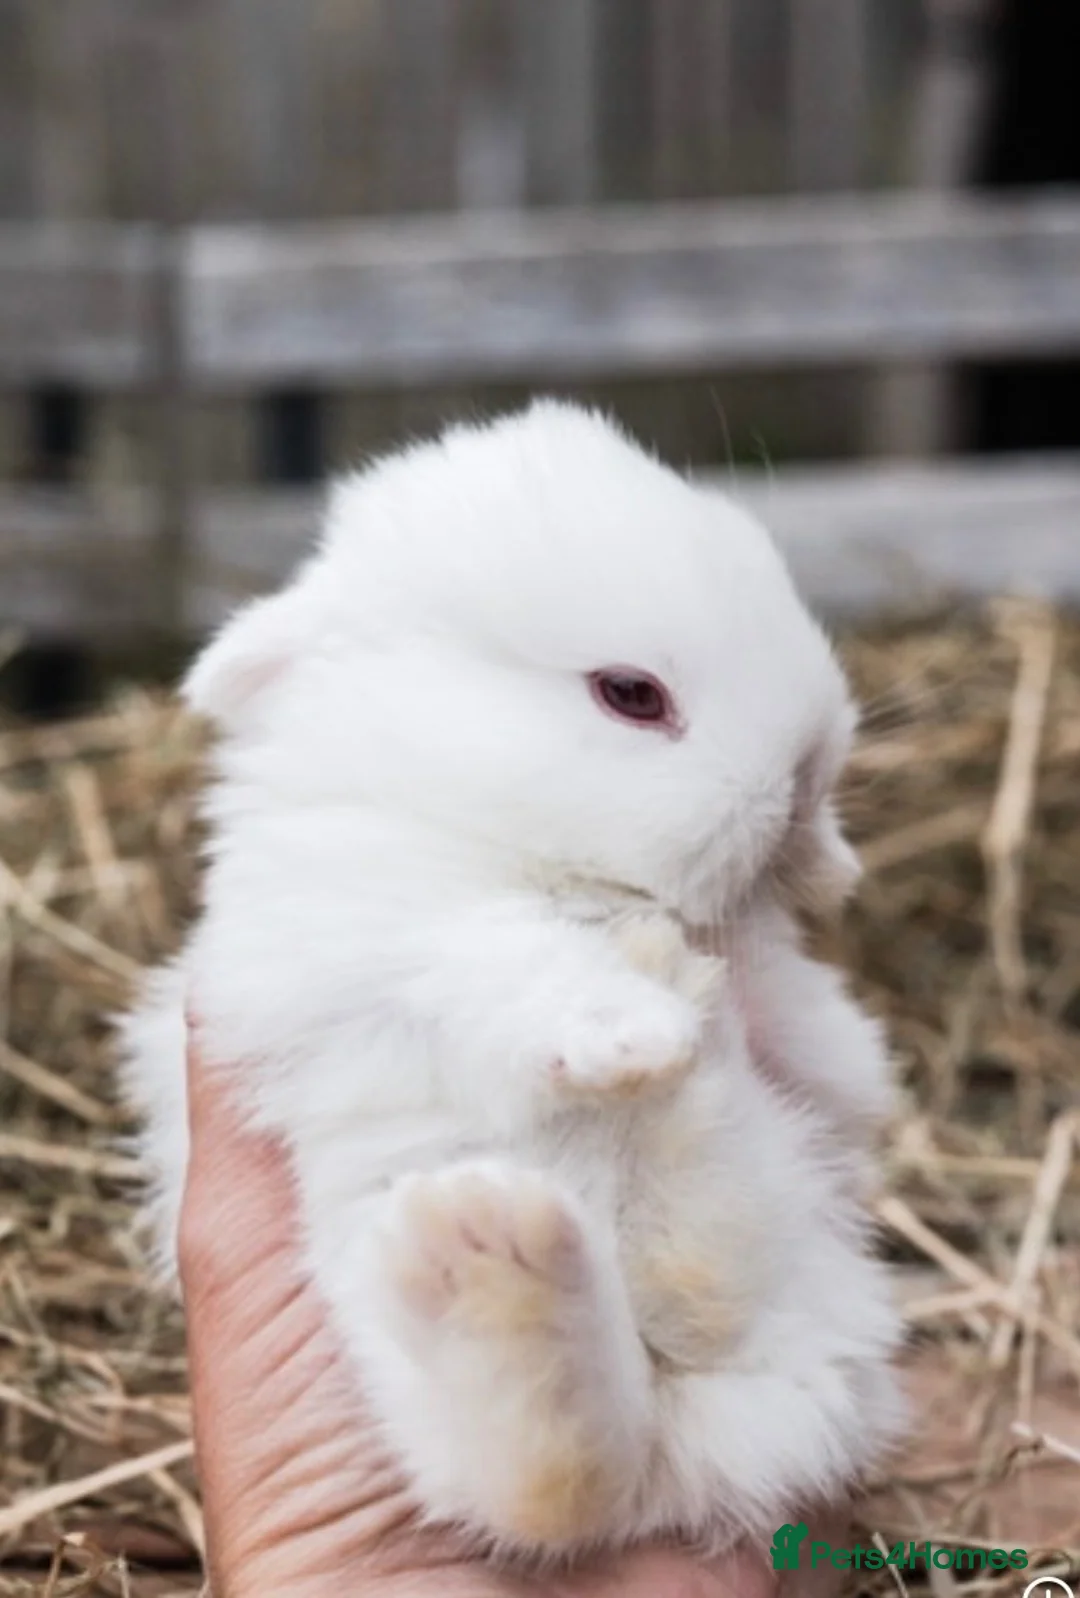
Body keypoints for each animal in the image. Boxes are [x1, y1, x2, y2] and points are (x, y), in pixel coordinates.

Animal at [120, 400, 904, 1562]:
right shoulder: (372, 936)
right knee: (547, 1476)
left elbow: (817, 1039)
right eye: (631, 694)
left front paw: (811, 892)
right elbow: (510, 958)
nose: (810, 771)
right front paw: (632, 1031)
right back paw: (497, 1240)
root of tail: (682, 1464)